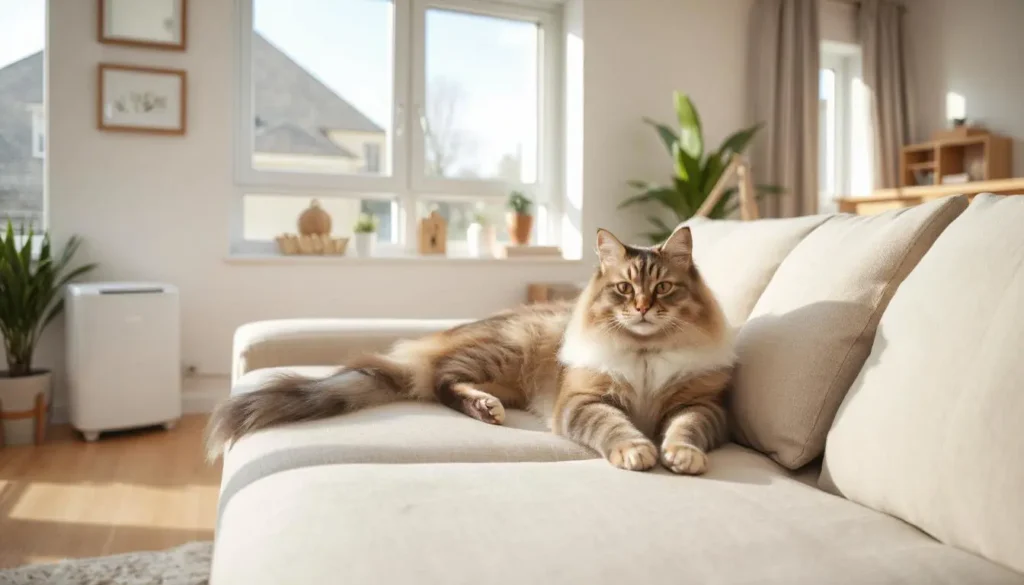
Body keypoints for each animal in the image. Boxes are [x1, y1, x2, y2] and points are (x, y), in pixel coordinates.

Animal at [205, 224, 737, 475]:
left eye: (663, 289)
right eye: (625, 290)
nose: (644, 308)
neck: (644, 356)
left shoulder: (704, 405)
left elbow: (686, 430)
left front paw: (681, 456)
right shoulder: (584, 401)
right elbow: (616, 428)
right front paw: (636, 450)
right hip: (499, 353)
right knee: (441, 381)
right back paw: (484, 407)